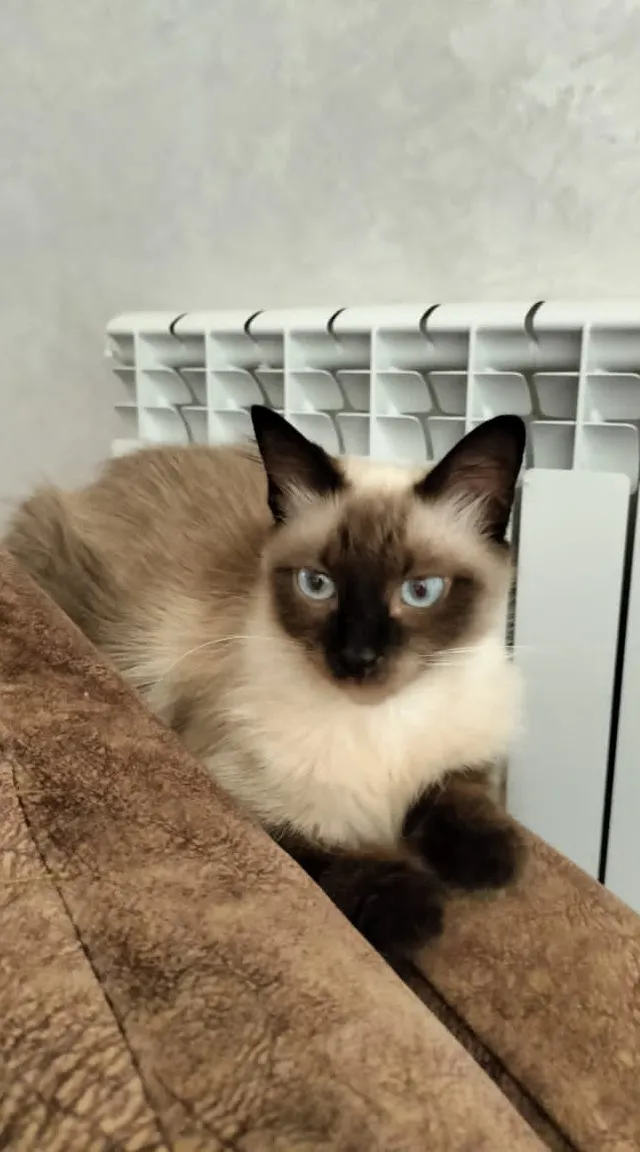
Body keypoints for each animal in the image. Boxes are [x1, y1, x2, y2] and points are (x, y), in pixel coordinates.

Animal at [6, 410, 524, 958]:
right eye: (317, 585)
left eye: (420, 591)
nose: (356, 658)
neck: (378, 722)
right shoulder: (240, 798)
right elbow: (320, 857)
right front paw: (412, 910)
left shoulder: (471, 757)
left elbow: (456, 794)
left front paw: (491, 863)